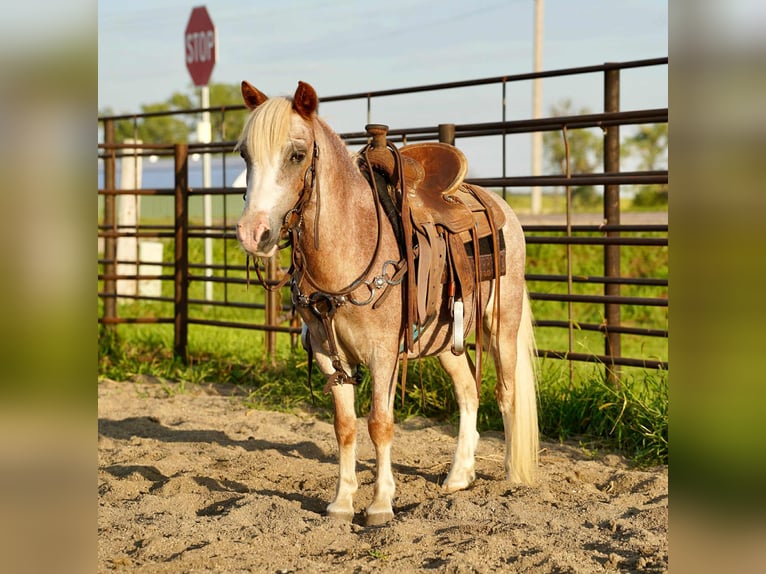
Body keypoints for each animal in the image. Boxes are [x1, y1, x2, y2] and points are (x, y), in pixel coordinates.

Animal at [235, 80, 538, 526]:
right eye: (244, 154)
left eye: (297, 154)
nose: (252, 232)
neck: (351, 244)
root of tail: (500, 207)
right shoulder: (328, 354)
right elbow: (344, 425)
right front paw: (342, 503)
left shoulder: (383, 354)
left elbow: (380, 423)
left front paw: (380, 504)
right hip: (442, 338)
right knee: (468, 391)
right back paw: (458, 475)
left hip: (503, 322)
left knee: (507, 390)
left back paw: (512, 475)